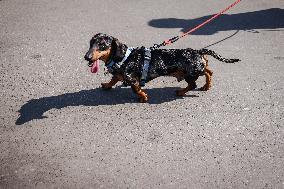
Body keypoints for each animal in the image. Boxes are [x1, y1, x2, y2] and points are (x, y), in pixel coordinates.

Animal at [84, 33, 240, 102]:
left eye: (102, 45)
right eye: (91, 43)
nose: (86, 57)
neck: (124, 57)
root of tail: (198, 51)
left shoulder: (132, 79)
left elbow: (136, 89)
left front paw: (143, 97)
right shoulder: (119, 75)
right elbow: (113, 79)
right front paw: (106, 85)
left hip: (190, 73)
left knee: (195, 83)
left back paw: (182, 92)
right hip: (196, 69)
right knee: (208, 71)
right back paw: (206, 85)